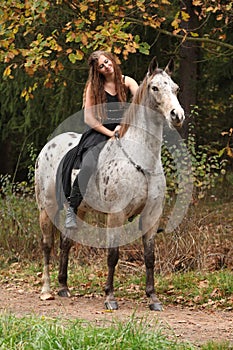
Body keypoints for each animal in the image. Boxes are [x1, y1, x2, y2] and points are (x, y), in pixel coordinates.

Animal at [35, 56, 184, 310]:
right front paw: (110, 297)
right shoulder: (116, 215)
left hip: (78, 209)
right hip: (47, 207)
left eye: (175, 88)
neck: (141, 160)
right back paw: (46, 290)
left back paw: (63, 286)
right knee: (47, 244)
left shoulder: (152, 216)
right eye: (155, 87)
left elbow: (150, 257)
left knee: (66, 242)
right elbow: (113, 255)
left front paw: (153, 298)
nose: (177, 115)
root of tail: (49, 145)